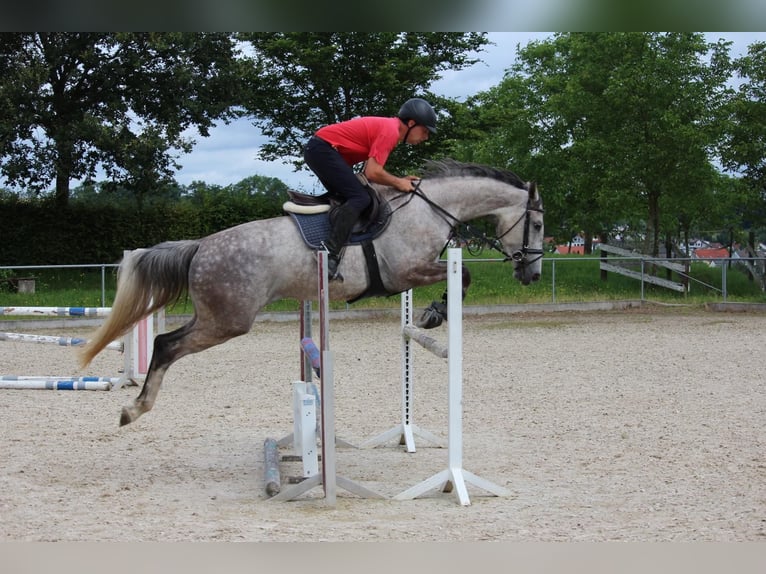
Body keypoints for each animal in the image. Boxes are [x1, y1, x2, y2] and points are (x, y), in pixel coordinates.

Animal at [79, 160, 544, 426]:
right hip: (227, 321)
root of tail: (200, 246)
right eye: (538, 224)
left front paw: (430, 314)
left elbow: (461, 278)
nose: (533, 274)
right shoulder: (407, 272)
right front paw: (432, 315)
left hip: (214, 315)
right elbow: (463, 277)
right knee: (165, 344)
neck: (428, 208)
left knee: (167, 342)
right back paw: (134, 409)